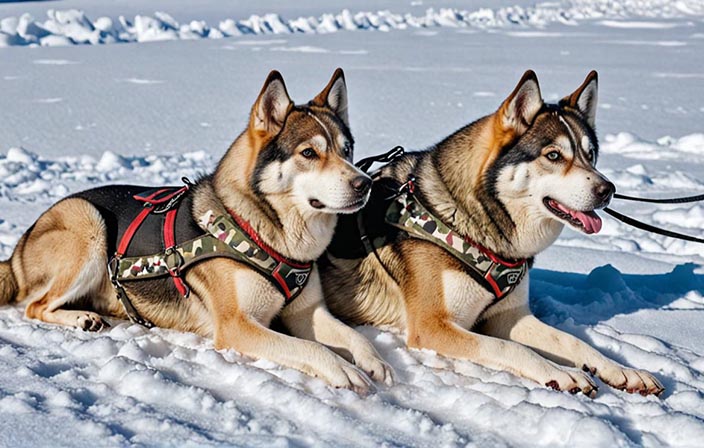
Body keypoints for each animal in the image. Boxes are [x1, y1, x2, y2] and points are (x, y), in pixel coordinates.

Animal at [0, 67, 396, 392]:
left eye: (347, 150)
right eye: (309, 153)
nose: (364, 184)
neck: (264, 231)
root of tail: (19, 248)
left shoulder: (306, 312)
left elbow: (355, 338)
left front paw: (374, 362)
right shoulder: (238, 325)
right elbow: (310, 347)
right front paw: (343, 370)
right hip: (88, 223)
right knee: (35, 306)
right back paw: (81, 318)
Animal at [322, 69, 664, 396]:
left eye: (590, 154)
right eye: (553, 155)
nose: (608, 190)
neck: (464, 222)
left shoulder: (510, 317)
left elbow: (571, 341)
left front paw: (623, 371)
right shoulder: (433, 326)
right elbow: (511, 348)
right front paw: (563, 373)